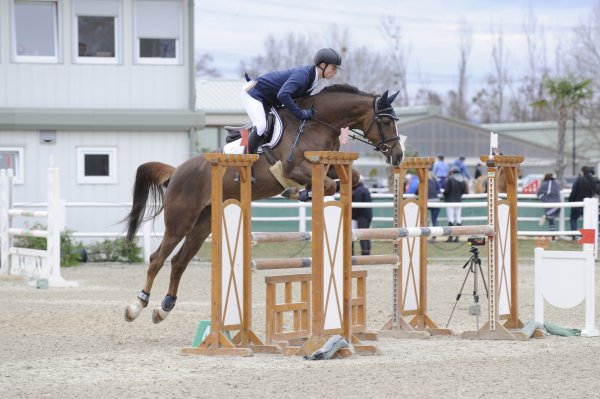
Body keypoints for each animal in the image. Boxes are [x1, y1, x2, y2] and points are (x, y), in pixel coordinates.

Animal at [121, 85, 404, 324]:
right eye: (386, 121)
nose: (398, 156)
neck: (316, 124)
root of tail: (177, 170)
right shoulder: (294, 167)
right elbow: (327, 186)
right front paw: (298, 193)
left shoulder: (330, 166)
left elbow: (351, 178)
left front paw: (303, 193)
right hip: (180, 221)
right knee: (157, 259)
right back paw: (136, 307)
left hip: (203, 224)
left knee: (179, 261)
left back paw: (164, 308)